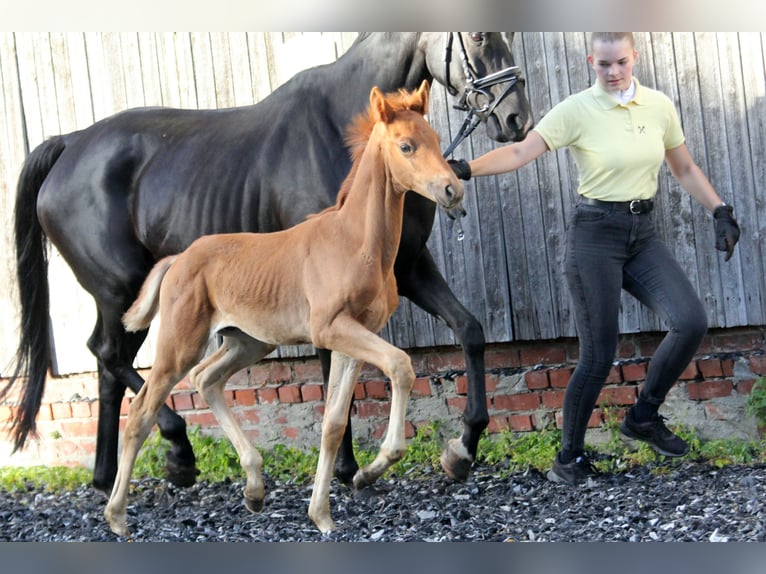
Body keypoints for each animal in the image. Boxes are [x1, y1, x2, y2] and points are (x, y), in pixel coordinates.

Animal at [4, 31, 536, 492]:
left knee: (108, 364)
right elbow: (330, 371)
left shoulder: (409, 268)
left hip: (123, 298)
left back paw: (106, 475)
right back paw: (177, 453)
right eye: (480, 37)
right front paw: (346, 467)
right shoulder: (325, 297)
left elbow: (469, 330)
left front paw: (463, 448)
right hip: (120, 290)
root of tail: (69, 144)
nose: (517, 119)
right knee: (112, 356)